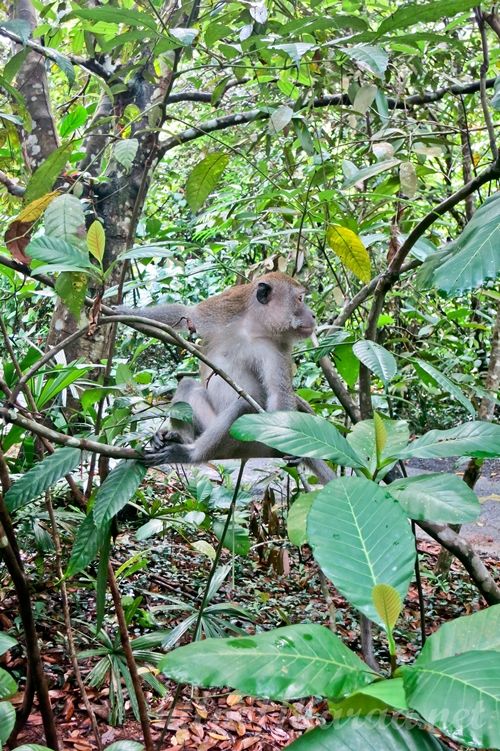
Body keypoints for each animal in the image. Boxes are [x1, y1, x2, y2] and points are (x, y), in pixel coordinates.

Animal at [115, 272, 314, 464]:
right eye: (300, 299)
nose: (313, 315)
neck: (254, 327)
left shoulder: (278, 348)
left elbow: (277, 392)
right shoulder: (223, 308)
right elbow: (187, 314)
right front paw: (122, 312)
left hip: (253, 442)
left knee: (244, 406)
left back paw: (189, 454)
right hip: (209, 423)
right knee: (188, 385)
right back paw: (182, 439)